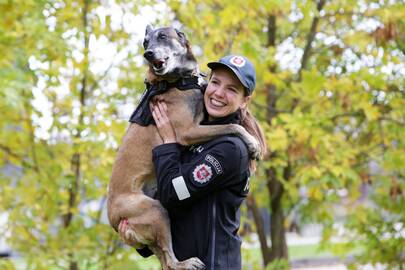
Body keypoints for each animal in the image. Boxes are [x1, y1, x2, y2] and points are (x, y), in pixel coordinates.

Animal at [107, 25, 258, 270]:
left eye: (162, 37)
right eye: (145, 42)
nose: (148, 54)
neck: (176, 80)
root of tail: (114, 219)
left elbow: (227, 120)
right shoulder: (188, 131)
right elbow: (232, 125)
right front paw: (253, 144)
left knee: (165, 261)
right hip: (156, 211)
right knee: (170, 260)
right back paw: (186, 263)